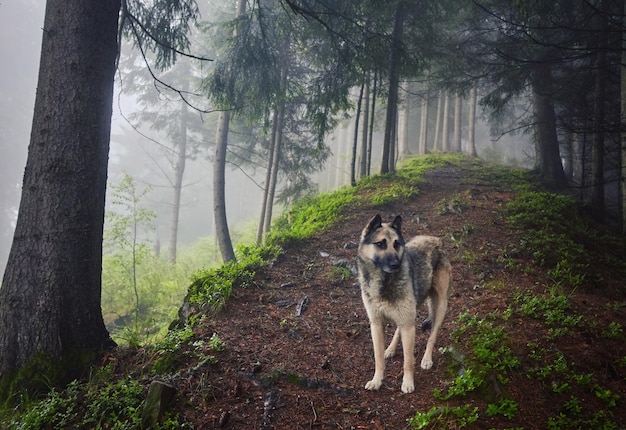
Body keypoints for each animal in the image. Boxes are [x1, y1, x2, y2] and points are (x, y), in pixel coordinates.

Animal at [356, 214, 448, 394]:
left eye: (396, 244)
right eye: (380, 244)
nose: (396, 264)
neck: (383, 283)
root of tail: (435, 239)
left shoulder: (408, 325)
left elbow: (408, 360)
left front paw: (408, 382)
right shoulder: (376, 324)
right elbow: (378, 357)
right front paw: (377, 380)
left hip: (440, 305)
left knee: (432, 335)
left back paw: (426, 358)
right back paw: (391, 349)